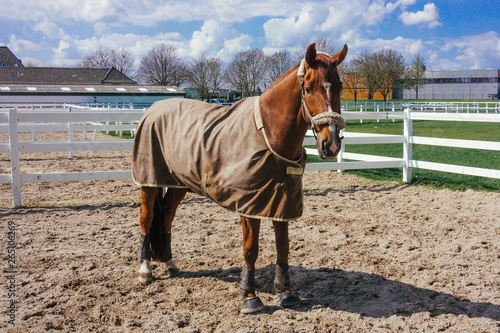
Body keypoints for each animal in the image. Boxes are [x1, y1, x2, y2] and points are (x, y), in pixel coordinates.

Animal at [131, 42, 346, 312]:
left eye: (339, 87)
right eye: (307, 89)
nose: (331, 144)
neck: (267, 132)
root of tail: (153, 109)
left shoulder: (281, 202)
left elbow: (283, 247)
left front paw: (286, 292)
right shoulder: (249, 205)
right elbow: (251, 249)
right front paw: (250, 297)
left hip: (178, 183)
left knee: (167, 218)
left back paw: (170, 264)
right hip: (149, 182)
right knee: (147, 219)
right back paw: (144, 271)